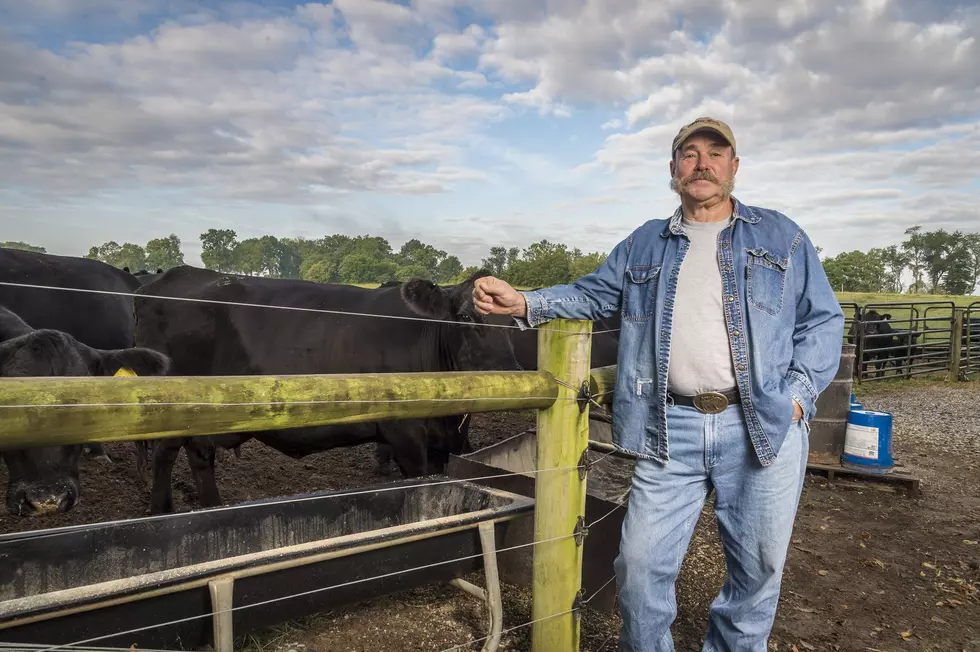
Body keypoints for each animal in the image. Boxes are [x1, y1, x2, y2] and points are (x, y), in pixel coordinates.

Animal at [134, 264, 524, 516]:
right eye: (466, 317)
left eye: (514, 322)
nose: (510, 375)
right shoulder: (406, 435)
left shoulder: (452, 438)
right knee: (166, 453)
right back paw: (161, 511)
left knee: (199, 454)